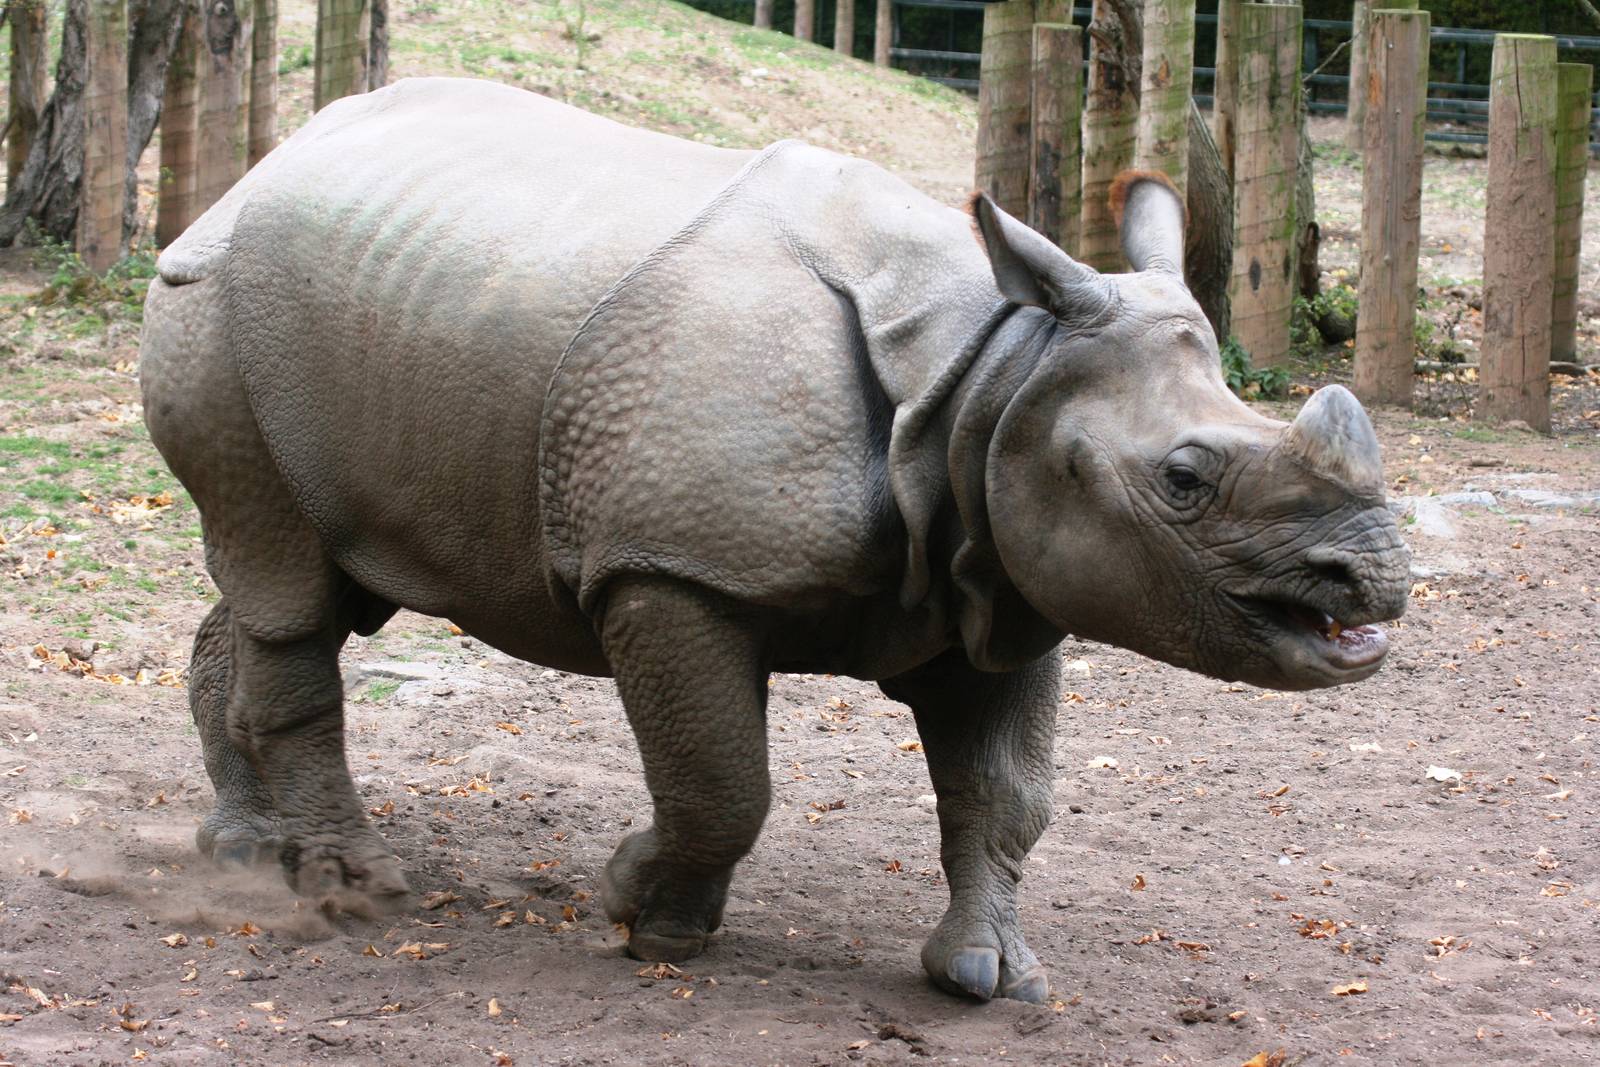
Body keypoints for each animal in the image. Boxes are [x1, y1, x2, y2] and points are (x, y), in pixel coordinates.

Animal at [140, 77, 1410, 1003]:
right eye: (1184, 480)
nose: (1376, 581)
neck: (995, 374)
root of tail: (244, 179)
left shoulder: (1003, 575)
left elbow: (1007, 793)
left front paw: (988, 976)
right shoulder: (670, 567)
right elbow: (721, 777)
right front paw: (647, 916)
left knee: (299, 578)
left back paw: (243, 847)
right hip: (212, 300)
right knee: (287, 580)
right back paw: (354, 886)